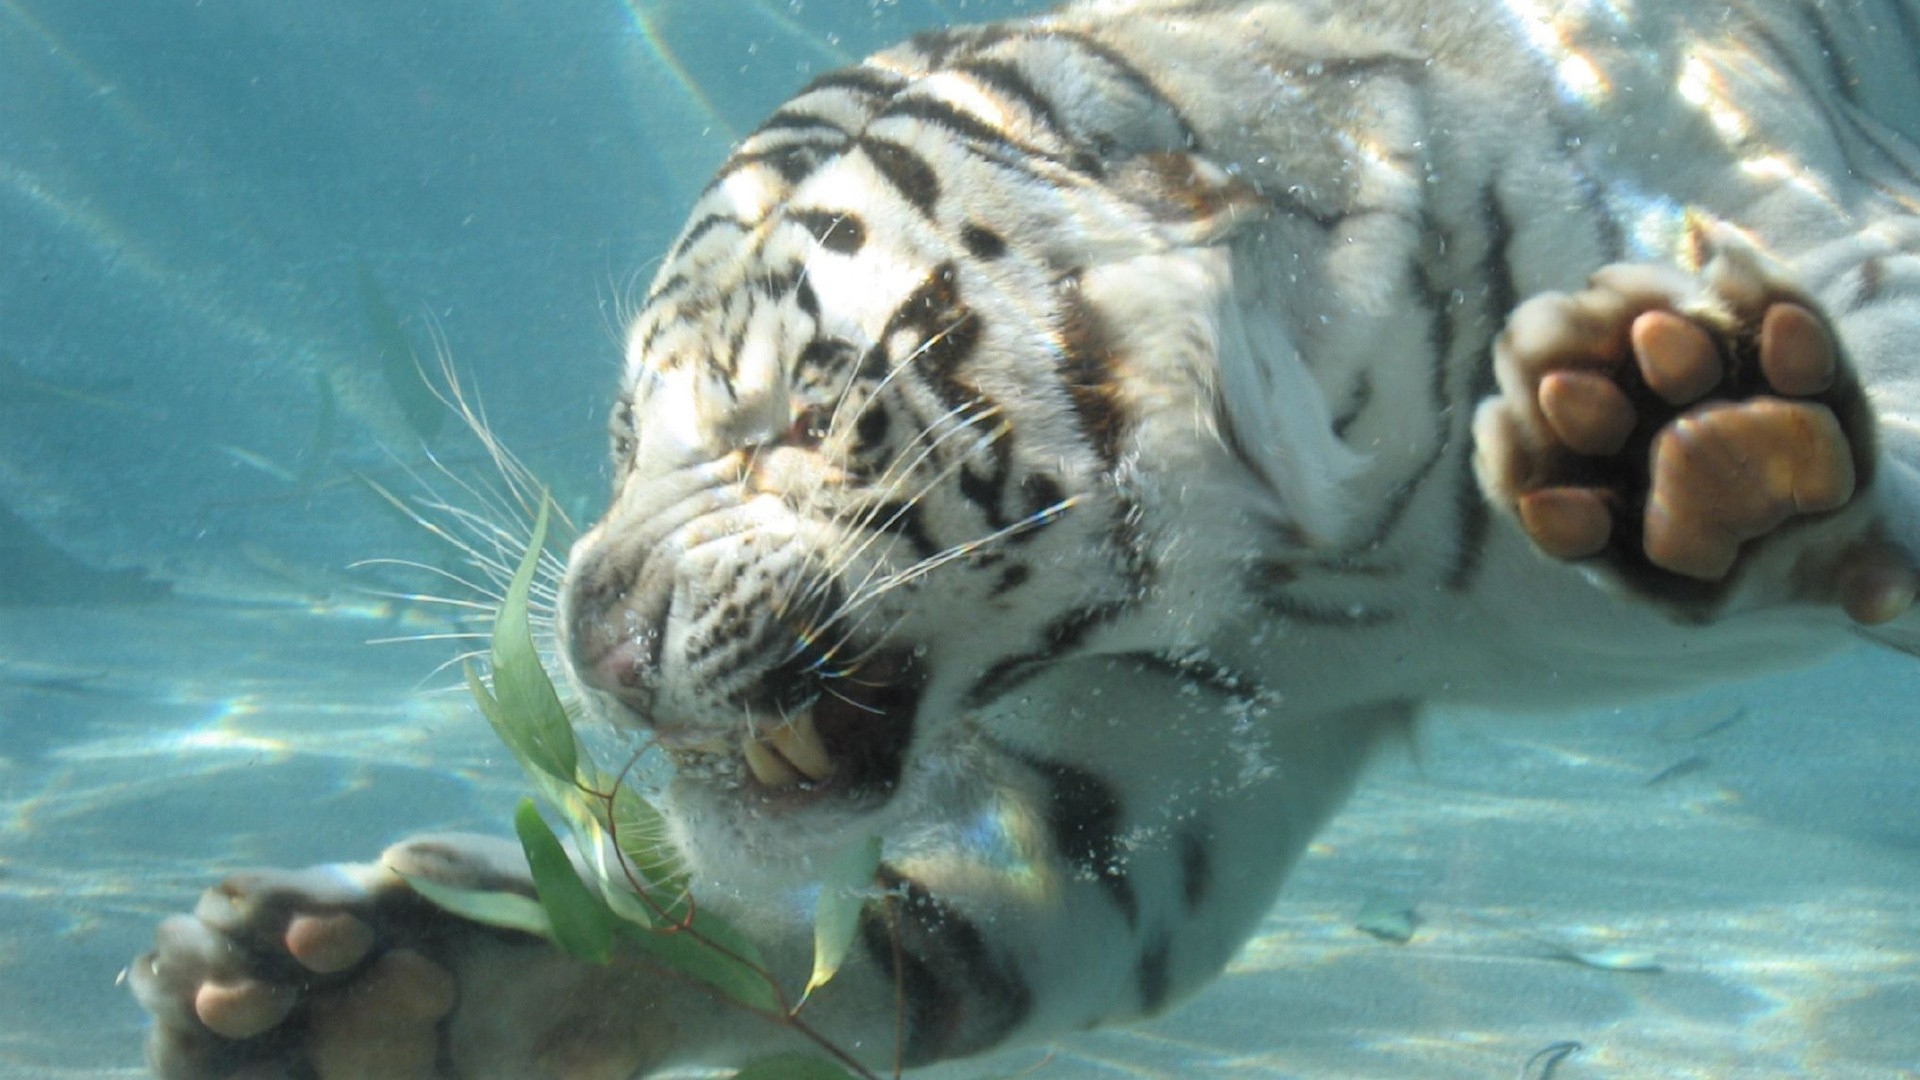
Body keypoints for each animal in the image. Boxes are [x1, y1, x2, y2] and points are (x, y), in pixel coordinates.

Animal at [131, 0, 1920, 1068]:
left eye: (792, 410)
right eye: (631, 441)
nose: (590, 639)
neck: (1336, 550)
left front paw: (1675, 420)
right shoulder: (1159, 764)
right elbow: (879, 939)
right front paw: (370, 987)